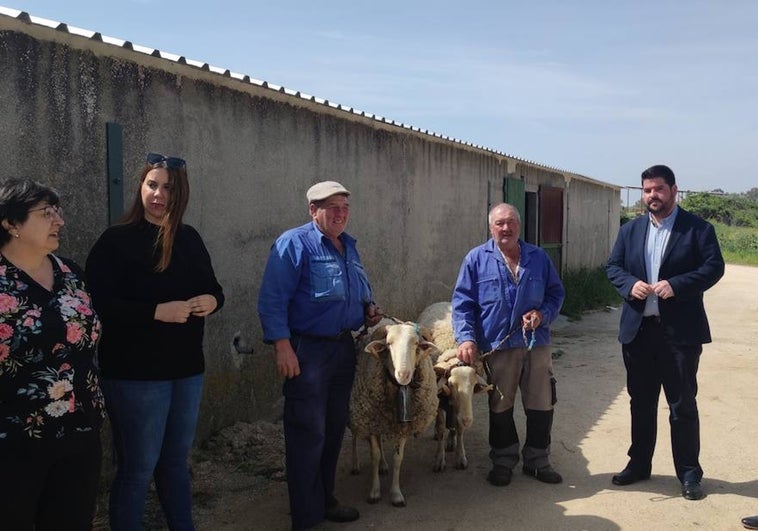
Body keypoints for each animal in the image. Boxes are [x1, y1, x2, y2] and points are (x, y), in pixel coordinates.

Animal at [350, 320, 440, 508]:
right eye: (389, 344)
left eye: (416, 344)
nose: (403, 374)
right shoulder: (370, 421)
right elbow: (374, 456)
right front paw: (374, 492)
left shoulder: (403, 426)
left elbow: (397, 459)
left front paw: (396, 494)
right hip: (357, 414)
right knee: (355, 435)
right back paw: (355, 464)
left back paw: (384, 466)